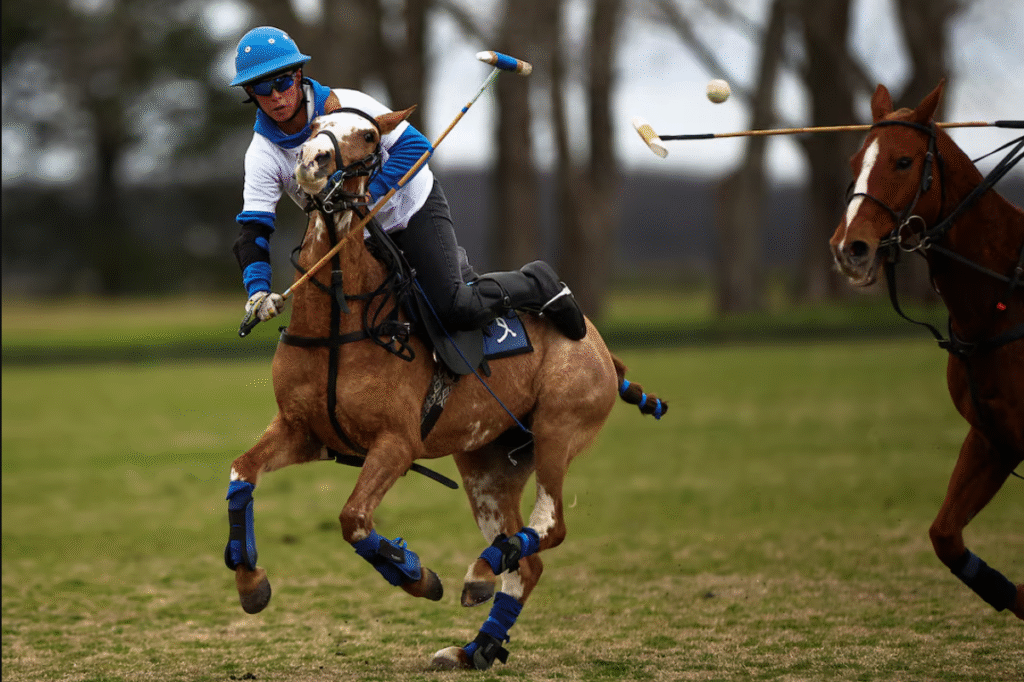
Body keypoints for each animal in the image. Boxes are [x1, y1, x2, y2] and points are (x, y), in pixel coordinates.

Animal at [223, 106, 668, 669]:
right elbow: (242, 473)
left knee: (551, 527)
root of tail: (602, 346)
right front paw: (250, 584)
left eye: (368, 134)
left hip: (558, 431)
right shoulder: (303, 432)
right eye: (315, 126)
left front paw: (416, 574)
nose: (312, 160)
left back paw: (479, 573)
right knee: (527, 561)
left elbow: (354, 519)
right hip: (488, 464)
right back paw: (475, 647)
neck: (340, 324)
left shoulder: (396, 444)